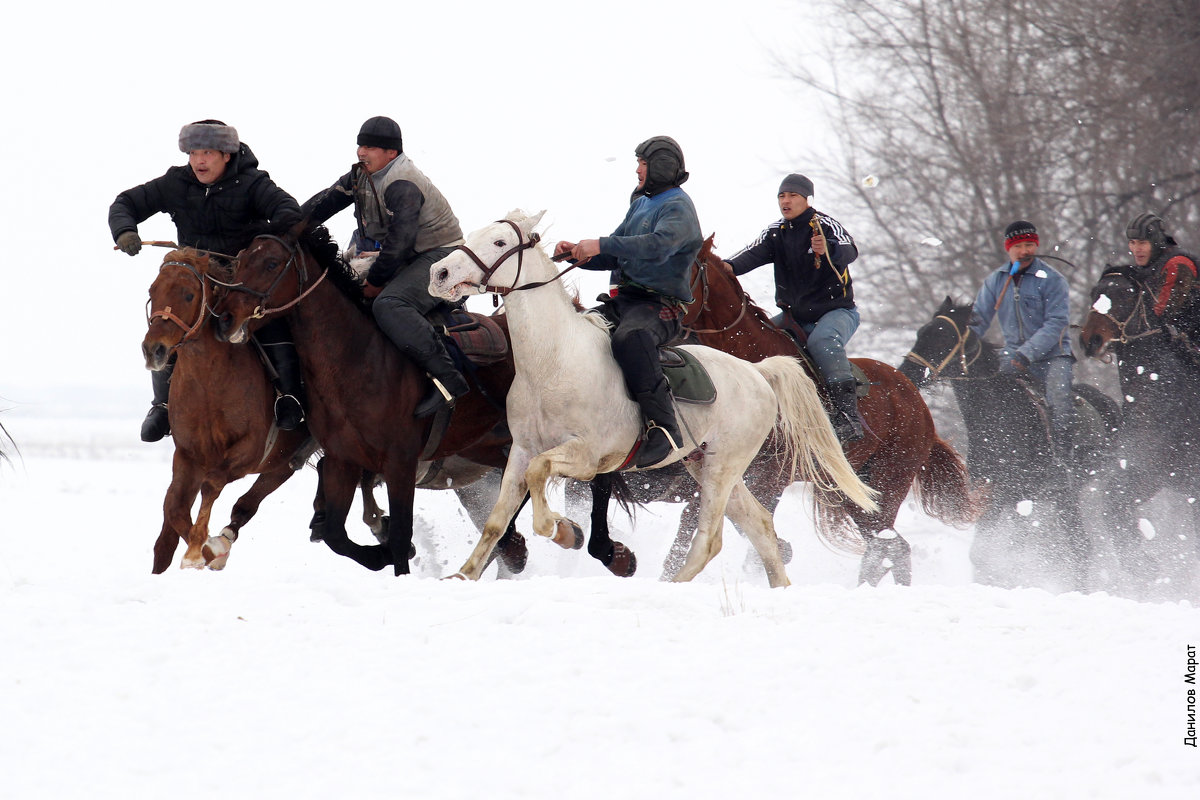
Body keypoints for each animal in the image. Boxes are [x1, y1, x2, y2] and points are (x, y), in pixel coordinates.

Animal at [141, 247, 319, 573]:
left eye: (188, 295)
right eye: (152, 291)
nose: (153, 350)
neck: (209, 383)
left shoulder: (248, 452)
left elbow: (211, 485)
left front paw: (200, 550)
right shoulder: (188, 455)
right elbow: (173, 507)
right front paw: (204, 549)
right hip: (285, 460)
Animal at [427, 209, 878, 585]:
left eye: (499, 241)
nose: (440, 272)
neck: (553, 361)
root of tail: (758, 372)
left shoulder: (586, 457)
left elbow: (542, 484)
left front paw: (564, 530)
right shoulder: (520, 451)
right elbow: (496, 520)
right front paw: (464, 575)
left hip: (722, 469)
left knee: (709, 540)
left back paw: (673, 585)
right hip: (706, 466)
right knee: (761, 527)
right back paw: (778, 588)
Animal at [681, 235, 979, 585]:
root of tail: (918, 403)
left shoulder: (771, 475)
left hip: (888, 483)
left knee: (888, 546)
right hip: (855, 492)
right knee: (891, 548)